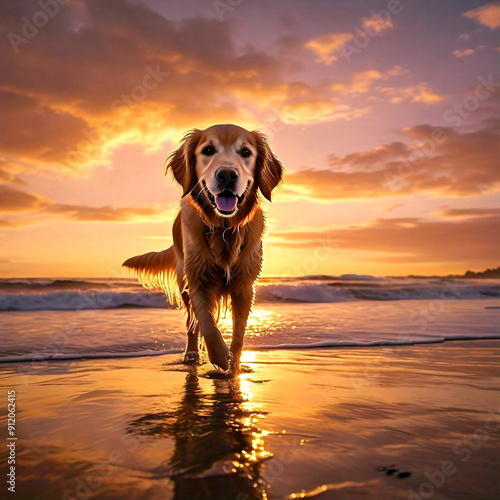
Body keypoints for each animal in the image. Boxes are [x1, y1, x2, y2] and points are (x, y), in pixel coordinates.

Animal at [123, 123, 284, 370]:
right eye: (208, 150)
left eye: (246, 152)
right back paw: (191, 355)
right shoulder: (197, 279)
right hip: (184, 283)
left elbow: (239, 332)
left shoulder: (245, 286)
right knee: (192, 323)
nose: (227, 174)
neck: (224, 229)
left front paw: (235, 366)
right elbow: (207, 323)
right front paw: (219, 356)